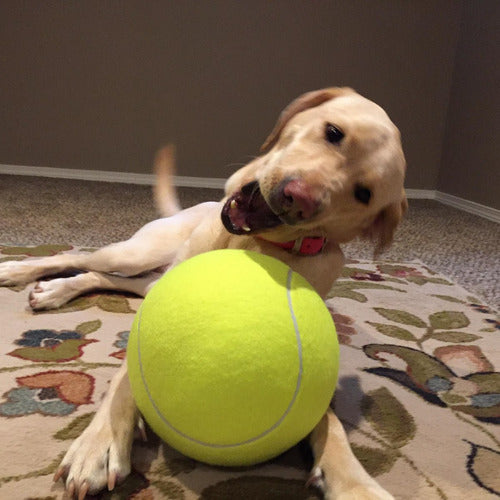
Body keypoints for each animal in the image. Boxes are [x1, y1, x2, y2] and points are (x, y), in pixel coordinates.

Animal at [0, 88, 406, 498]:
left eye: (364, 193)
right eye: (334, 132)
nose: (299, 197)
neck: (251, 246)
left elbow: (329, 421)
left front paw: (354, 482)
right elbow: (125, 379)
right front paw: (100, 444)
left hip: (151, 277)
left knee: (105, 277)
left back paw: (56, 290)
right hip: (138, 253)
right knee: (79, 257)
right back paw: (24, 273)